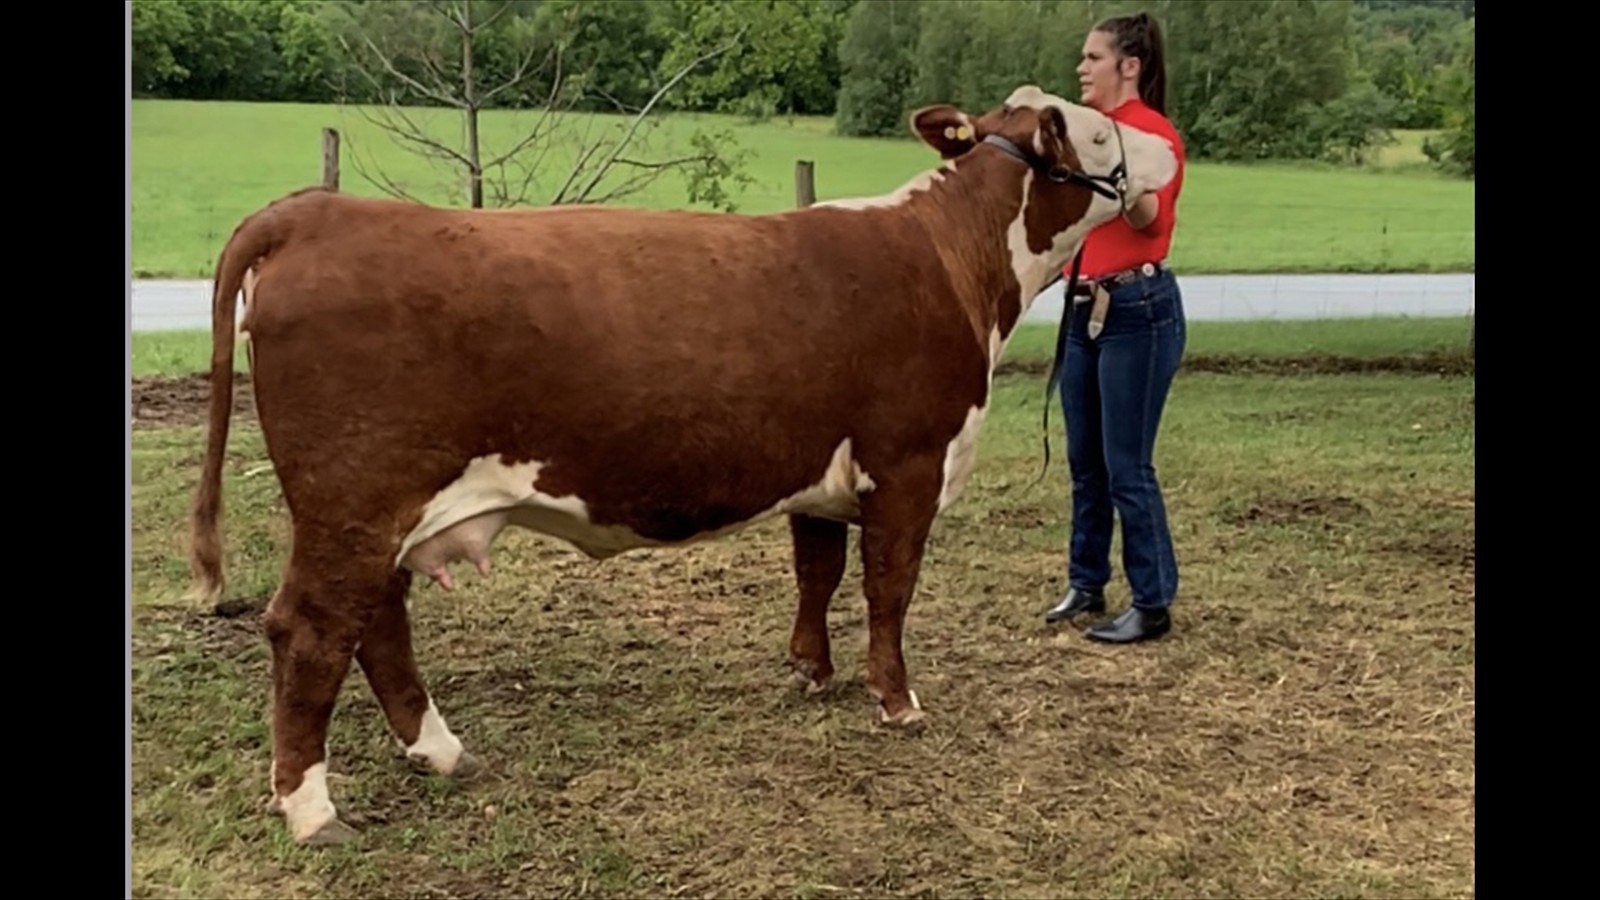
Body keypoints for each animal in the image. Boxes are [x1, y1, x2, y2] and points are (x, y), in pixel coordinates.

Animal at [182, 84, 1179, 846]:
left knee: (377, 621)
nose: (1168, 151)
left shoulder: (822, 471)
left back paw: (439, 750)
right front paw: (895, 702)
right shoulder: (908, 464)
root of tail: (317, 213)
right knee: (312, 630)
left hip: (378, 511)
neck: (952, 260)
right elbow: (888, 589)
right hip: (354, 498)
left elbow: (817, 571)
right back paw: (312, 810)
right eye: (1097, 130)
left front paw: (810, 672)